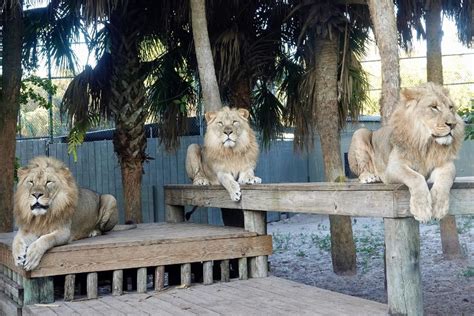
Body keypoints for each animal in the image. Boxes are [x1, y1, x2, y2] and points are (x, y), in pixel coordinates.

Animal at [348, 82, 462, 223]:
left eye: (451, 107)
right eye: (434, 107)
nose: (453, 124)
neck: (426, 144)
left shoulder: (446, 164)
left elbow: (445, 179)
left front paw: (439, 207)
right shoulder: (393, 168)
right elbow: (415, 177)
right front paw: (421, 210)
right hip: (360, 132)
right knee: (361, 170)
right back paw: (369, 177)